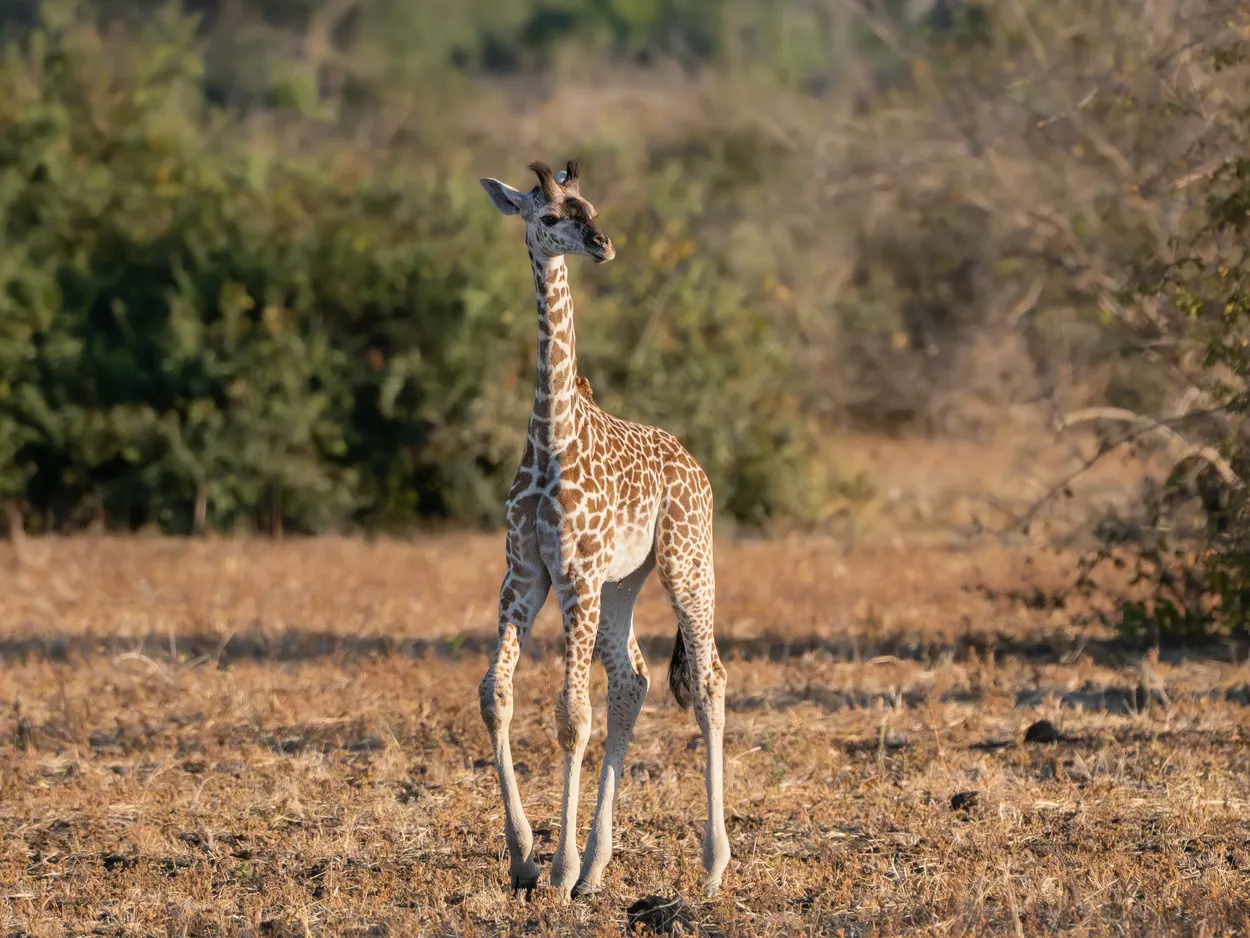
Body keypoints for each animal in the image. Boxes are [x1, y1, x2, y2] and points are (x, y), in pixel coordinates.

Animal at [477, 159, 730, 901]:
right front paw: (526, 859)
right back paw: (596, 867)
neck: (550, 433)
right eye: (548, 216)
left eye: (587, 206)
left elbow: (570, 715)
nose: (604, 244)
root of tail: (697, 465)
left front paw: (555, 869)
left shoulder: (576, 573)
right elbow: (496, 695)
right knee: (633, 680)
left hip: (685, 561)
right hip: (624, 583)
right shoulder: (524, 575)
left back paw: (711, 864)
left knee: (709, 679)